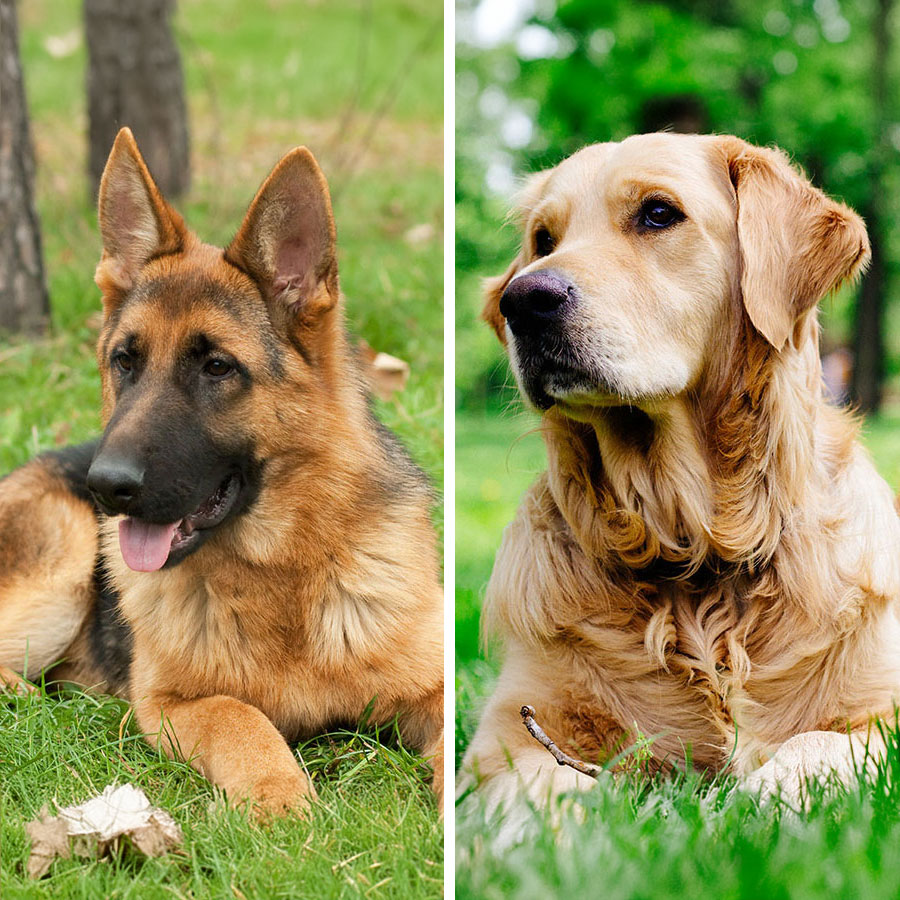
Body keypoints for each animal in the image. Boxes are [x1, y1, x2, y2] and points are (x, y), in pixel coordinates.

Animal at [0, 128, 442, 816]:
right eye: (124, 362)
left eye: (216, 367)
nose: (106, 486)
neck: (279, 574)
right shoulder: (170, 704)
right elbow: (242, 718)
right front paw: (282, 801)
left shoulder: (433, 683)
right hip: (59, 572)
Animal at [460, 132, 900, 836]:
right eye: (543, 239)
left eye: (659, 214)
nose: (523, 301)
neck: (695, 549)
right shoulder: (508, 735)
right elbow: (540, 784)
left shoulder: (877, 711)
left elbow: (821, 742)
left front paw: (766, 801)